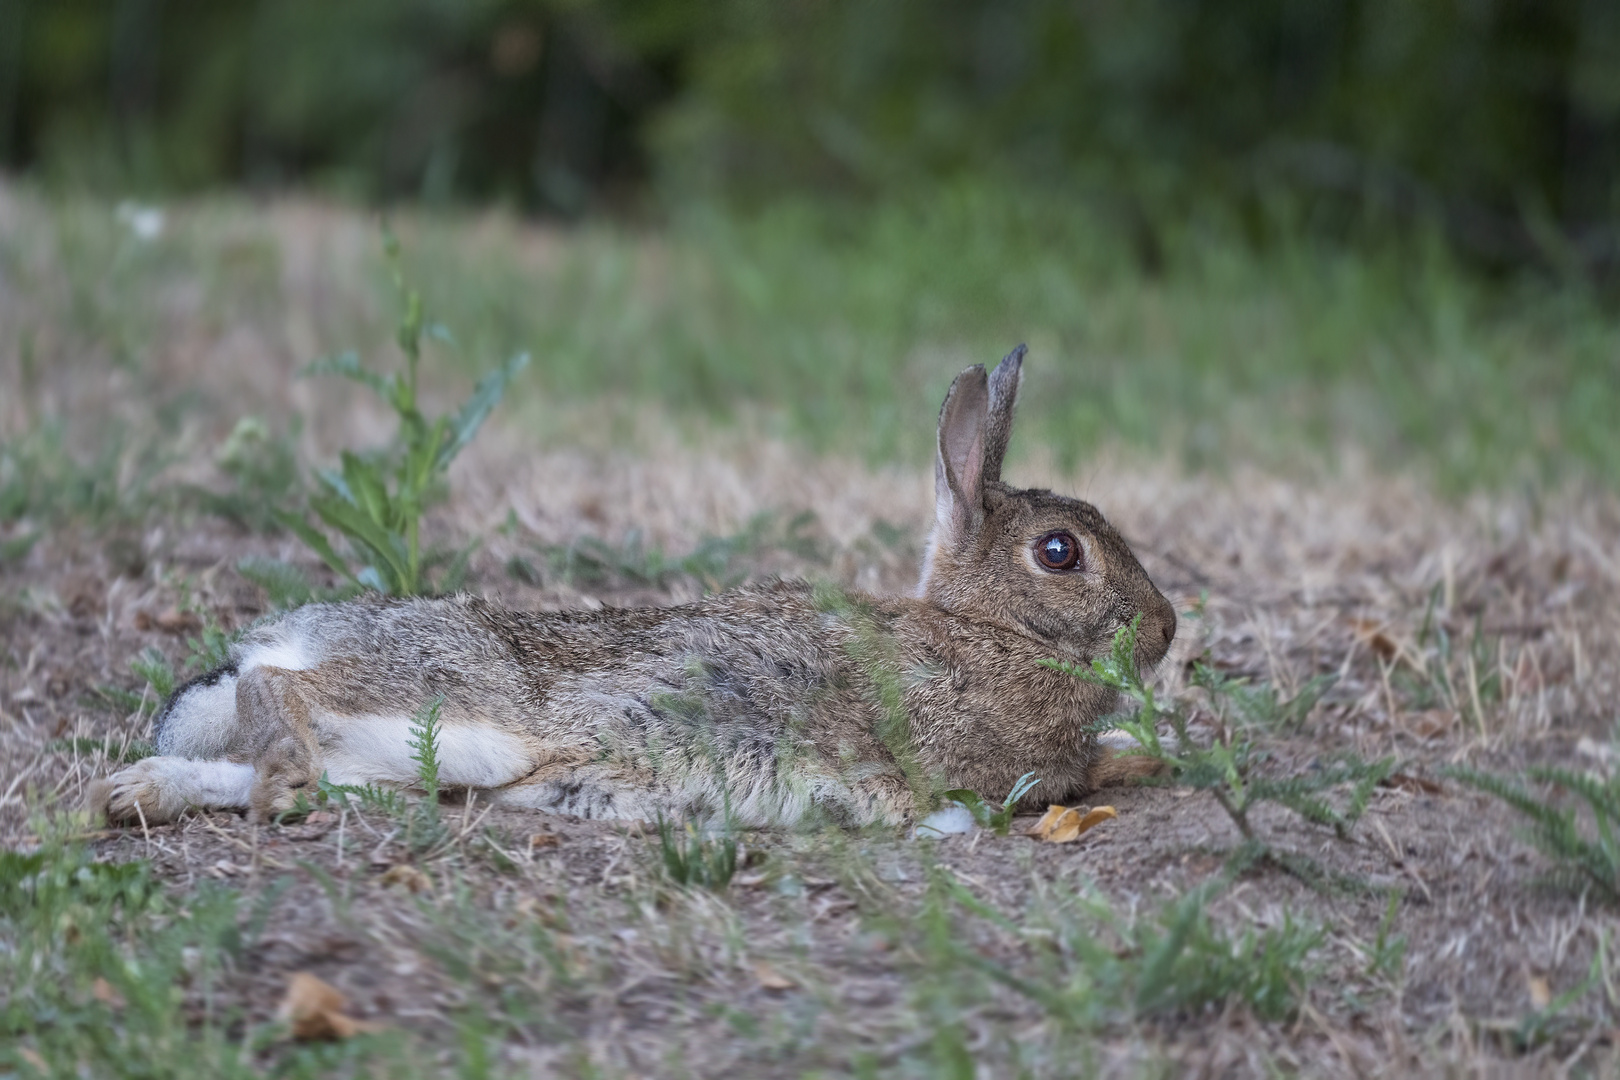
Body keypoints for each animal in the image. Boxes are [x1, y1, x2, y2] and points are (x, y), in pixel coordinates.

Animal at [91, 346, 1179, 829]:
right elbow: (1084, 769)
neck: (983, 630)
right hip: (454, 704)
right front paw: (1139, 758)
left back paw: (142, 792)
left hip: (415, 757)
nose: (1167, 629)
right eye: (1059, 553)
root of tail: (281, 636)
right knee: (286, 694)